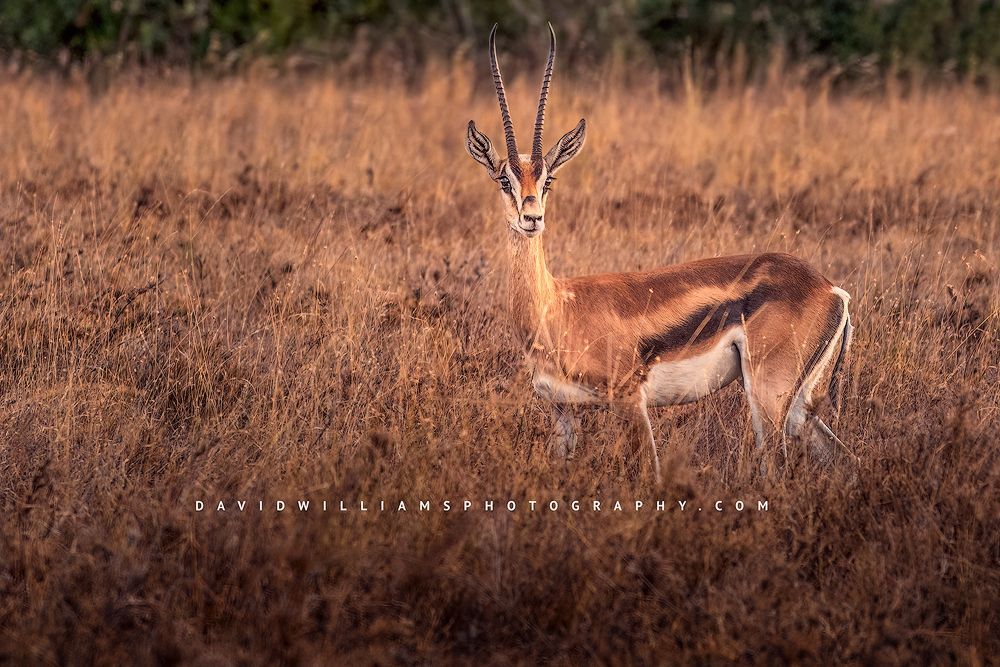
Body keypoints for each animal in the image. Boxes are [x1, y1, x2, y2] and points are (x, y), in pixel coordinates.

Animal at [466, 25, 855, 481]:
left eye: (548, 180)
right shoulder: (562, 412)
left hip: (767, 395)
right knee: (843, 456)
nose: (532, 217)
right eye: (503, 180)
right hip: (798, 408)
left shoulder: (630, 400)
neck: (557, 308)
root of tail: (831, 289)